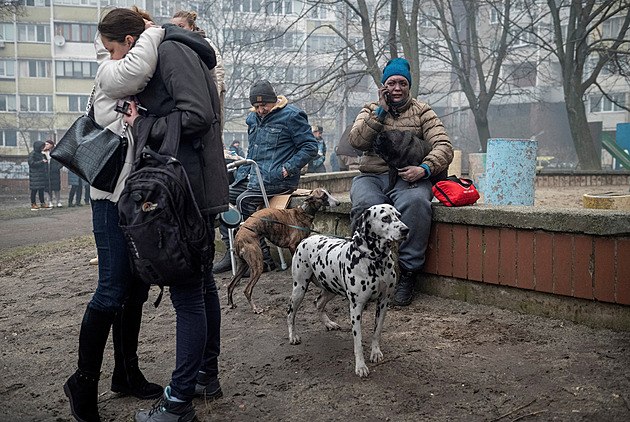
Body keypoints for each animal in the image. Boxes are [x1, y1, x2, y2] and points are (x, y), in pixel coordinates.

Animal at [286, 204, 410, 376]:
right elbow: (358, 342)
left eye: (399, 215)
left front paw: (375, 352)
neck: (375, 260)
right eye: (385, 218)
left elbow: (377, 331)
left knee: (318, 302)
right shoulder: (356, 308)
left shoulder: (383, 302)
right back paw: (293, 336)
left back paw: (329, 323)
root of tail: (306, 239)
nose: (406, 229)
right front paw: (361, 366)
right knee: (290, 313)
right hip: (299, 288)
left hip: (330, 288)